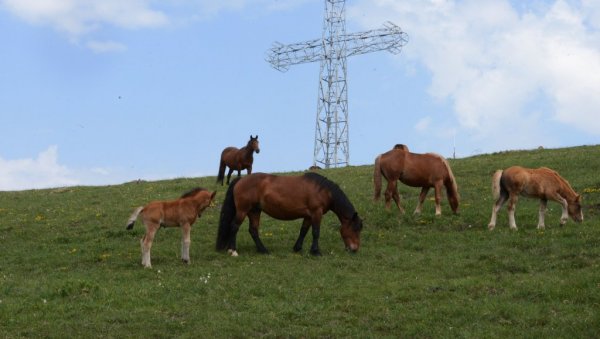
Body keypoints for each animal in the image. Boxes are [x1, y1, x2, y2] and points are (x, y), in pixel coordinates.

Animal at [217, 174, 364, 256]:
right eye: (355, 229)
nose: (355, 249)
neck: (322, 190)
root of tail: (241, 180)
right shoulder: (316, 213)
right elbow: (316, 232)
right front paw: (316, 251)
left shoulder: (309, 216)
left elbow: (303, 231)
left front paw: (297, 248)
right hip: (243, 211)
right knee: (234, 227)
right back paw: (233, 251)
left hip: (254, 211)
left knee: (253, 230)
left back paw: (263, 250)